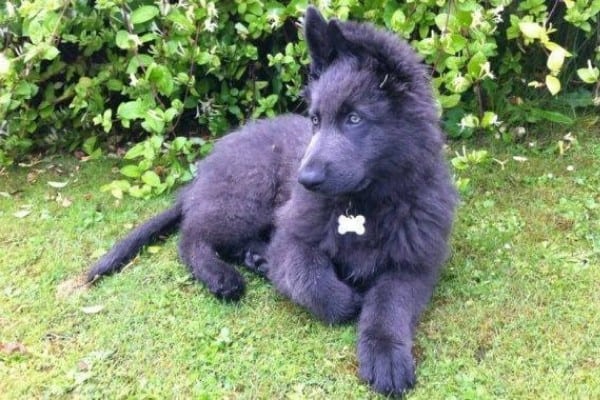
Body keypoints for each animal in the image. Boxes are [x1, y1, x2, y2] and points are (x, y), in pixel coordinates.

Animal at [86, 7, 458, 396]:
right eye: (315, 120)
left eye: (354, 118)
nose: (304, 181)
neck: (363, 206)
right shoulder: (293, 239)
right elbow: (313, 280)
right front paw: (347, 302)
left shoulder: (412, 266)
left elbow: (389, 304)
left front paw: (385, 351)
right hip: (249, 196)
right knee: (191, 237)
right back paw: (221, 275)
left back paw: (257, 259)